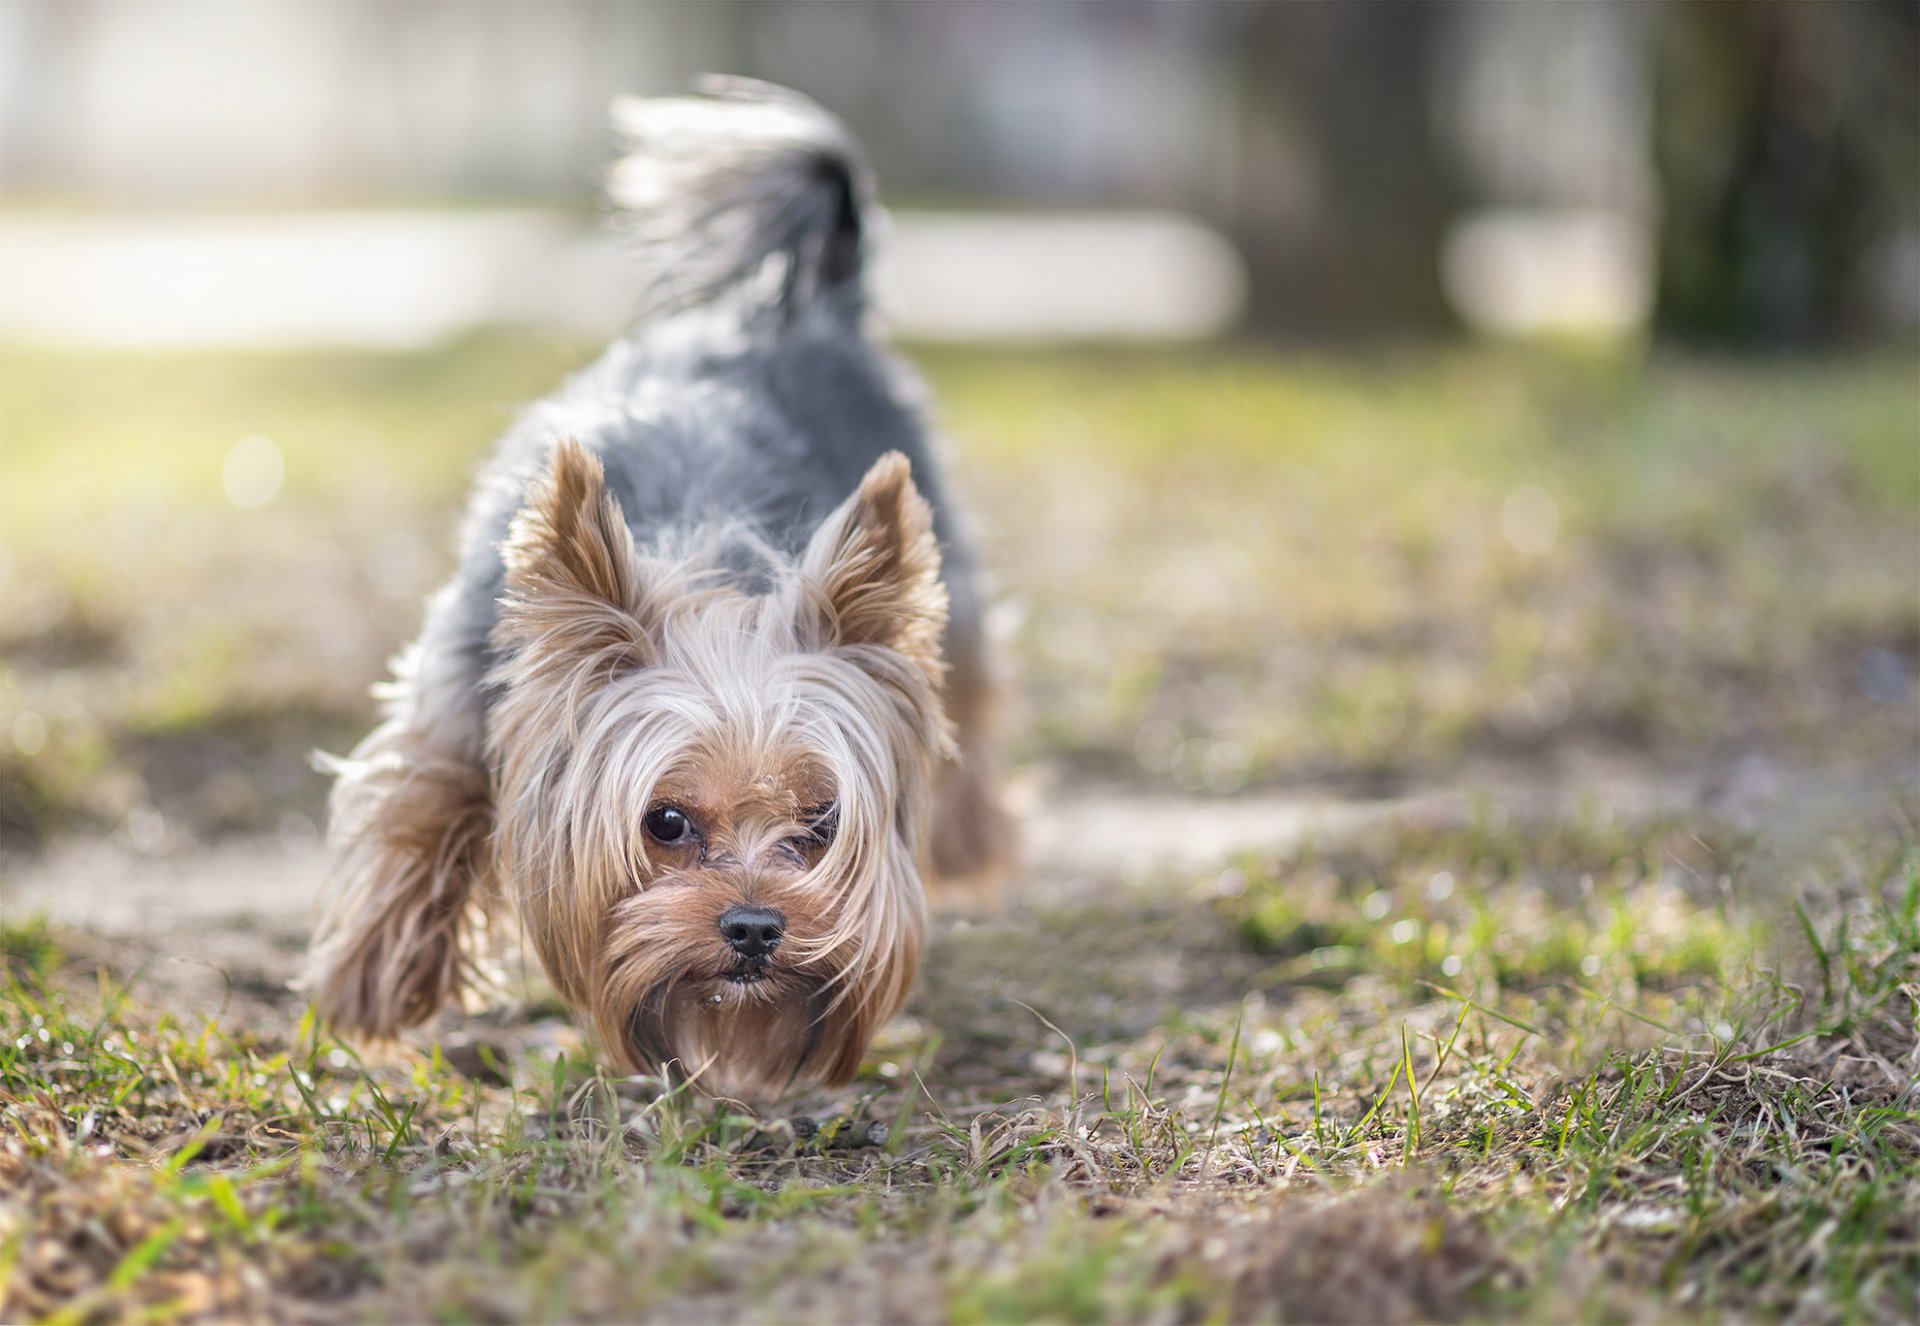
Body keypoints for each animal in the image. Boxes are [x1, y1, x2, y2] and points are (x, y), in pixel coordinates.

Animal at [303, 80, 1006, 1097]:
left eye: (822, 822)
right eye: (665, 822)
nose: (755, 926)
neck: (706, 569)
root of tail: (801, 309)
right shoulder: (464, 679)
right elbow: (422, 799)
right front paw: (377, 980)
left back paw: (972, 844)